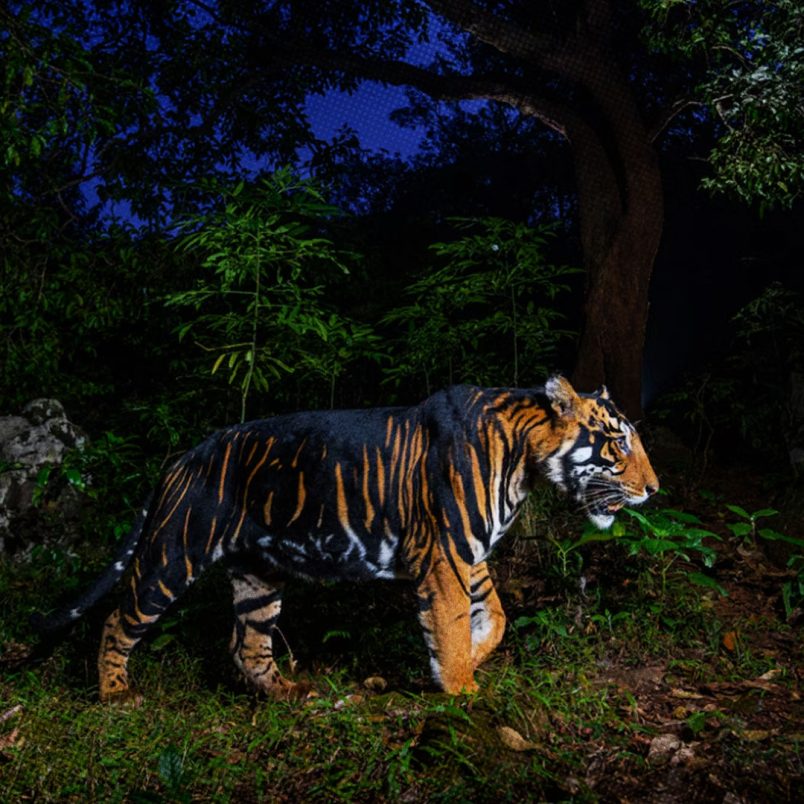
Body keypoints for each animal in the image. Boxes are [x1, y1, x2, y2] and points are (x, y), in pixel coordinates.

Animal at [36, 376, 658, 701]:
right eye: (619, 443)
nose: (654, 489)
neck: (525, 464)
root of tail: (185, 456)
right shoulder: (446, 555)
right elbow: (453, 623)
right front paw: (460, 688)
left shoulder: (466, 553)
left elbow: (496, 616)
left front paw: (473, 658)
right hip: (172, 554)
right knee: (119, 619)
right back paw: (115, 694)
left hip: (260, 576)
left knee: (247, 645)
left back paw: (290, 694)